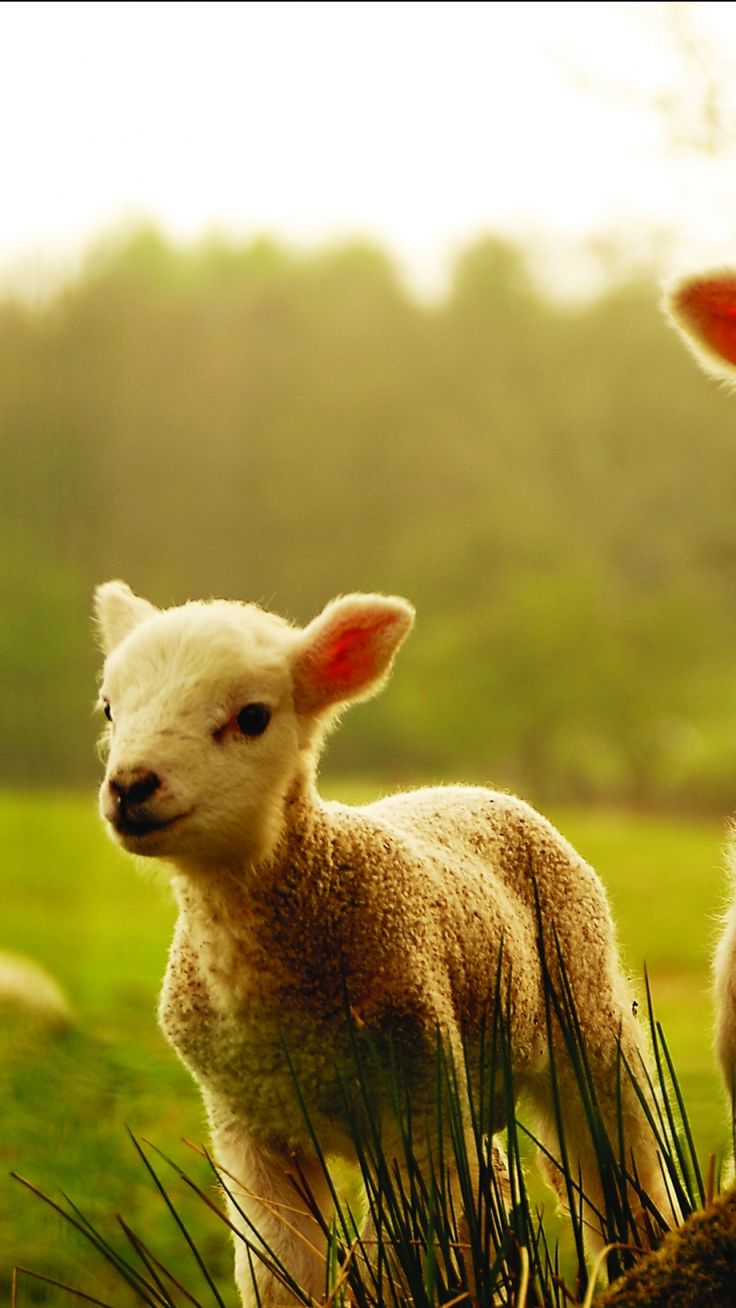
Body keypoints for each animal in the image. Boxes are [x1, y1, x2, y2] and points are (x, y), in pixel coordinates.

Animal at [94, 579, 670, 1305]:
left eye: (252, 717)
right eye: (109, 709)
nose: (130, 787)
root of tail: (476, 788)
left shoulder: (416, 1105)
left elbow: (399, 1263)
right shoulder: (250, 1125)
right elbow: (279, 1272)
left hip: (584, 1010)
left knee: (622, 1163)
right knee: (494, 1184)